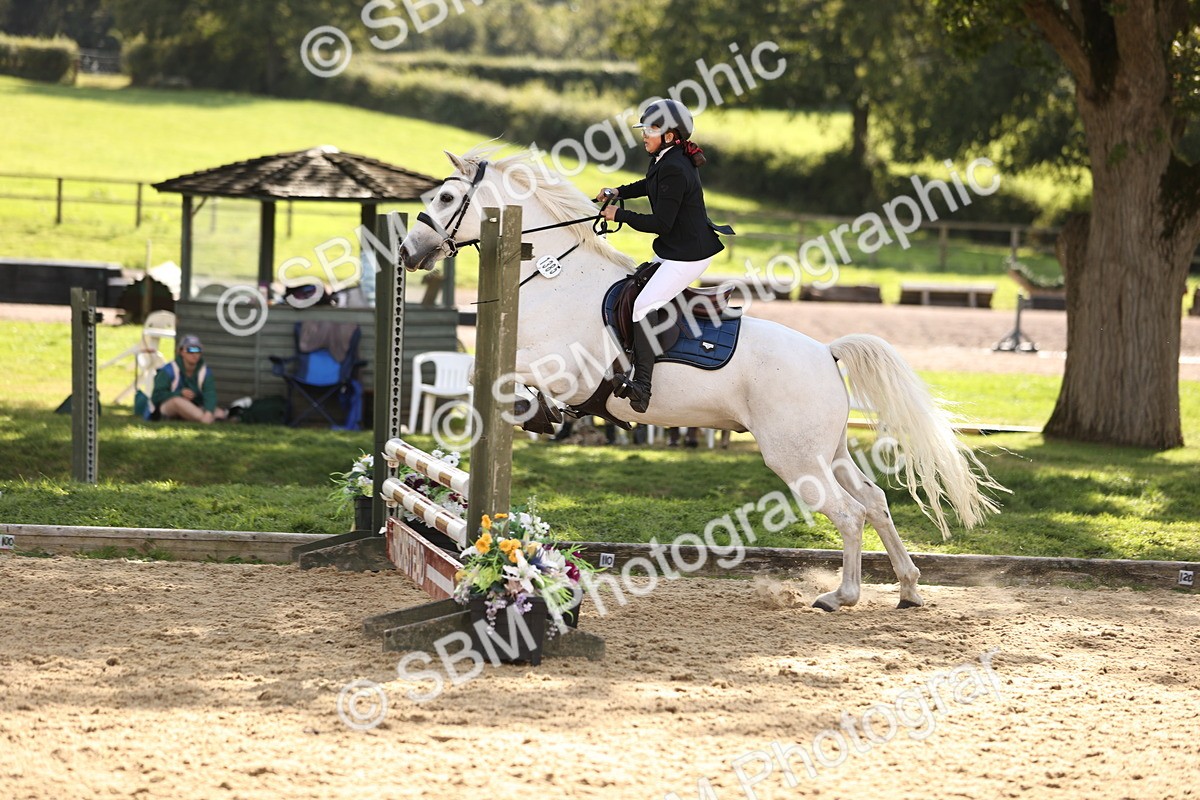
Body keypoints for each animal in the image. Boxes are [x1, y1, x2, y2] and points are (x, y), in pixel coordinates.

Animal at [399, 146, 1005, 611]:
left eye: (446, 199)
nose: (408, 252)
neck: (553, 278)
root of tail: (825, 353)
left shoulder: (564, 368)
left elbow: (491, 374)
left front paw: (535, 413)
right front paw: (538, 416)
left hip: (793, 457)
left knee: (848, 513)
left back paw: (843, 596)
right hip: (826, 451)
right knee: (874, 501)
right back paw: (908, 589)